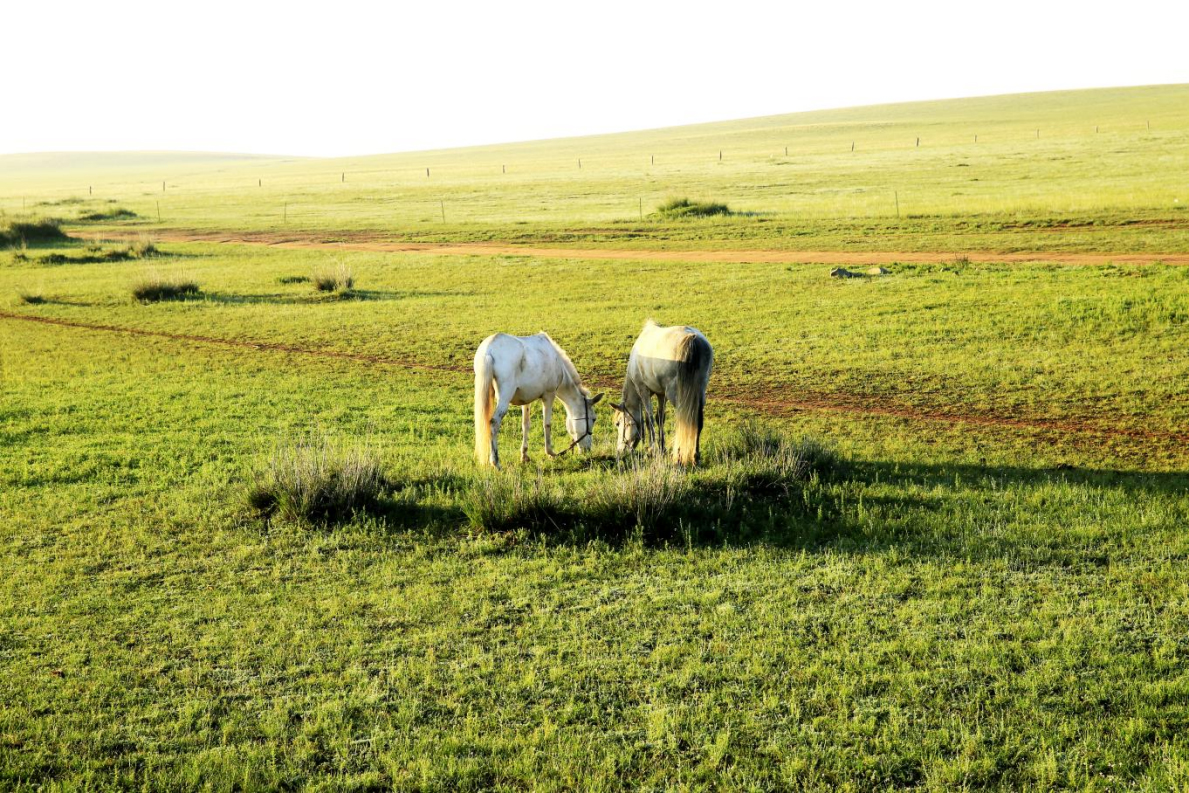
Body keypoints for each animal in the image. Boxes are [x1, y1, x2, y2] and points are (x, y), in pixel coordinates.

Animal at [473, 332, 604, 468]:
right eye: (594, 419)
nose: (588, 450)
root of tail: (488, 350)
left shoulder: (526, 401)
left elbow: (525, 425)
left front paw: (524, 456)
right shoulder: (549, 396)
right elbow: (547, 424)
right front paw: (551, 453)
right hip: (504, 399)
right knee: (494, 422)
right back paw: (496, 462)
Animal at [608, 318, 708, 461]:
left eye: (618, 423)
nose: (620, 451)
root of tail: (692, 338)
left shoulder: (643, 391)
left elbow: (649, 420)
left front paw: (652, 449)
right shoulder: (662, 394)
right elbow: (660, 418)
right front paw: (661, 448)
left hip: (676, 395)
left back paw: (681, 455)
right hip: (699, 392)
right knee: (697, 421)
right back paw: (696, 455)